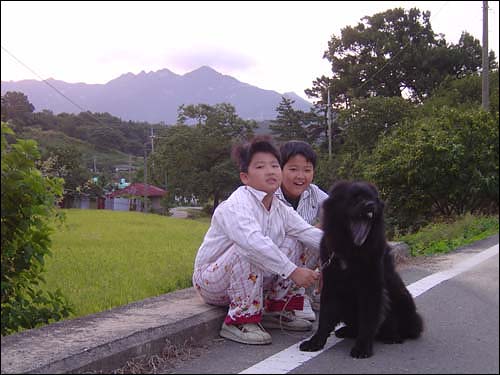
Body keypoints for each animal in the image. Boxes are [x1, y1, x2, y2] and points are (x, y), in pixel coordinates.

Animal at [300, 181, 422, 358]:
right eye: (355, 198)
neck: (350, 250)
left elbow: (368, 319)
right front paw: (315, 342)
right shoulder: (331, 285)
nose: (370, 205)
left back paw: (392, 336)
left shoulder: (371, 288)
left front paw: (362, 348)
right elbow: (325, 318)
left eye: (373, 198)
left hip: (402, 299)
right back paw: (345, 331)